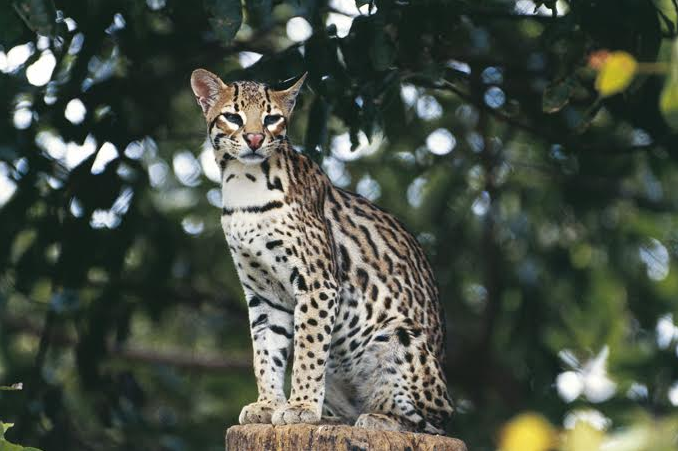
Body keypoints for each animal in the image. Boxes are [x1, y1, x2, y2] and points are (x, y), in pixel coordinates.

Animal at [191, 69, 454, 434]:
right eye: (233, 117)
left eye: (272, 119)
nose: (255, 139)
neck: (244, 184)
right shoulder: (263, 293)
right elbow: (265, 352)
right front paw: (269, 404)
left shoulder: (317, 281)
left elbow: (308, 348)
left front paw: (300, 406)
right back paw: (335, 417)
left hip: (402, 336)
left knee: (429, 420)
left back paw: (381, 418)